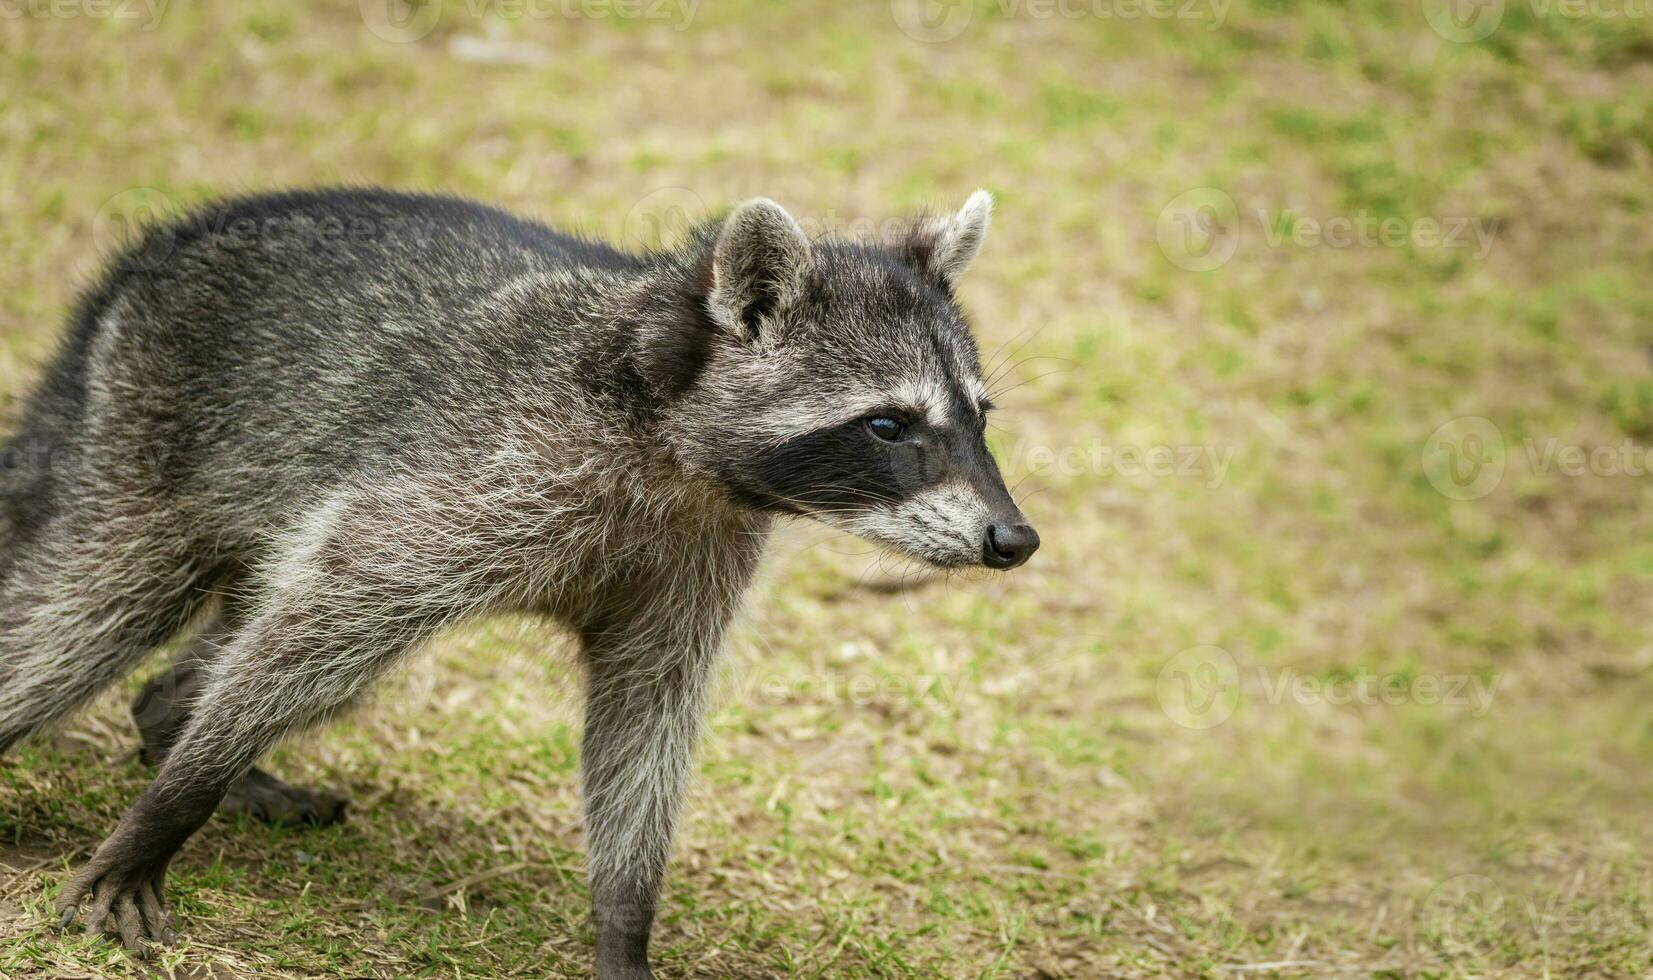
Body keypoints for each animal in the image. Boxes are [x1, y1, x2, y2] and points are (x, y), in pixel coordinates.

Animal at [0, 187, 1031, 971]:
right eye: (889, 425)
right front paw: (171, 808)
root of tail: (153, 255)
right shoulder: (482, 473)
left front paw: (624, 918)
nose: (1013, 539)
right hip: (150, 437)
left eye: (979, 418)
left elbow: (643, 721)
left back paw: (171, 710)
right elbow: (335, 600)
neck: (674, 446)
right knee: (93, 618)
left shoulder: (692, 560)